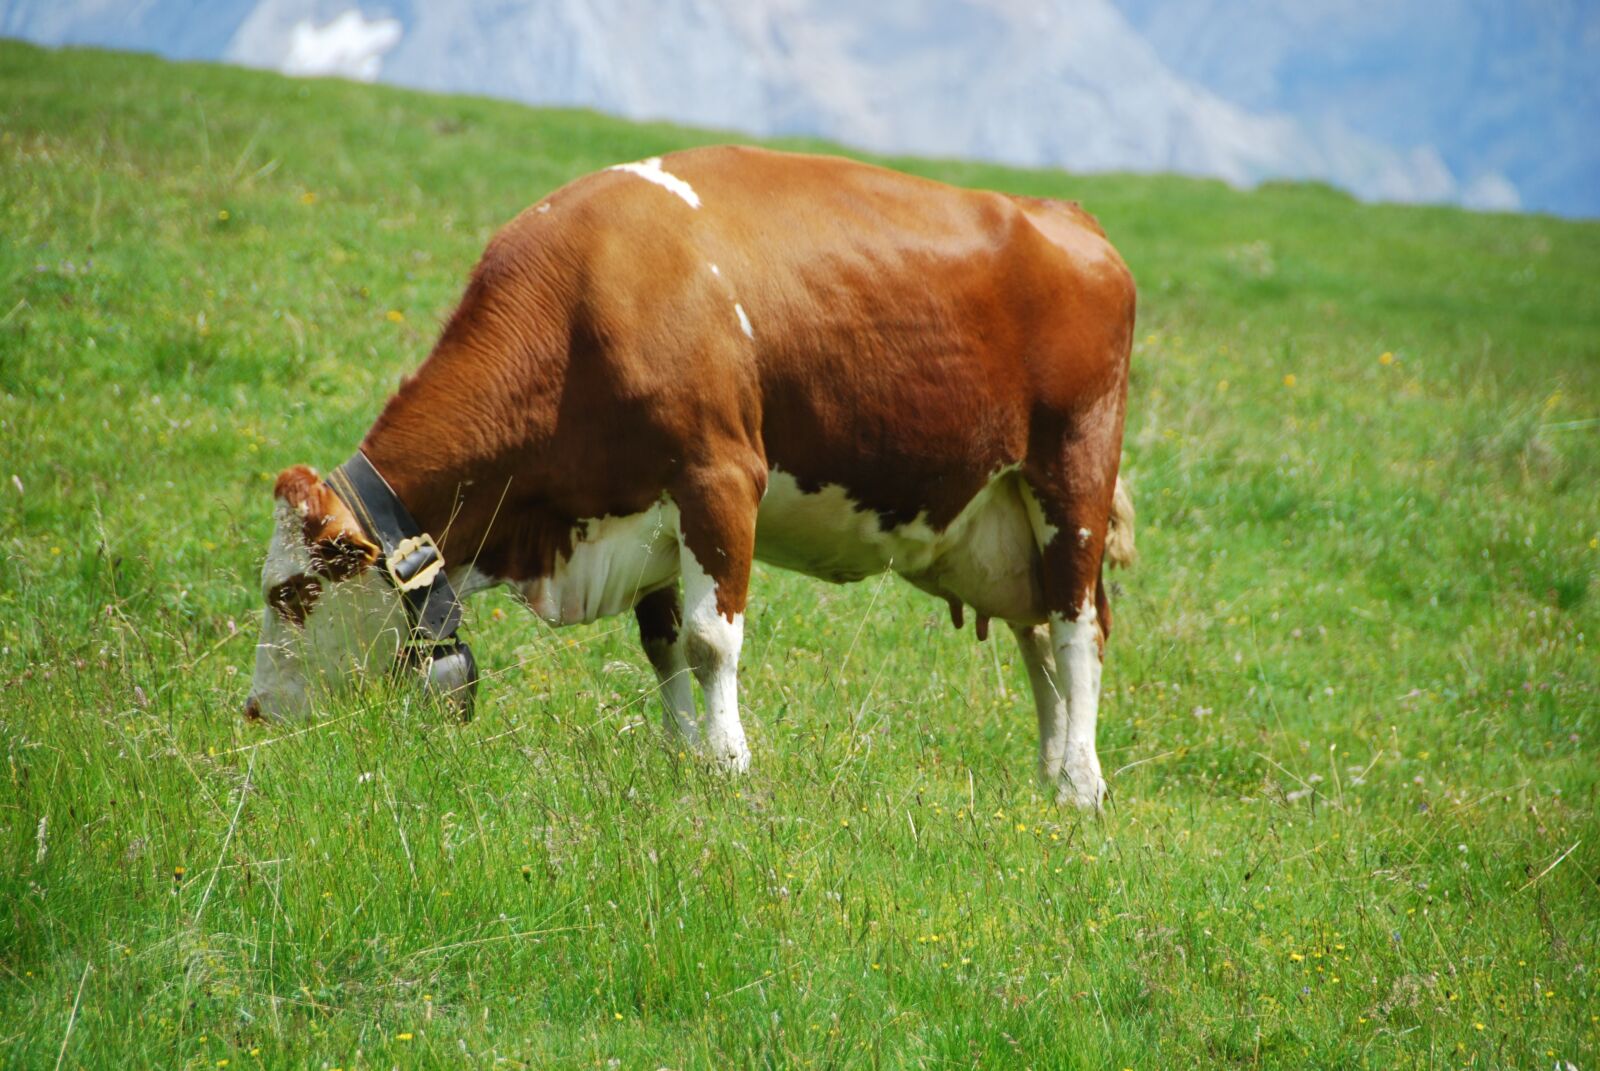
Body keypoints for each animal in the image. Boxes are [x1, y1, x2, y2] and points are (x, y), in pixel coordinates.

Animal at [246, 145, 1136, 810]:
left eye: (290, 592)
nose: (254, 709)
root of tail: (1068, 216)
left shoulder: (720, 477)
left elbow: (711, 640)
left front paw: (730, 764)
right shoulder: (641, 508)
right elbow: (662, 641)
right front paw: (686, 758)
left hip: (1073, 475)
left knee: (1077, 628)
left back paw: (1079, 786)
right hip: (1004, 516)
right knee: (1036, 635)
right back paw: (1048, 770)